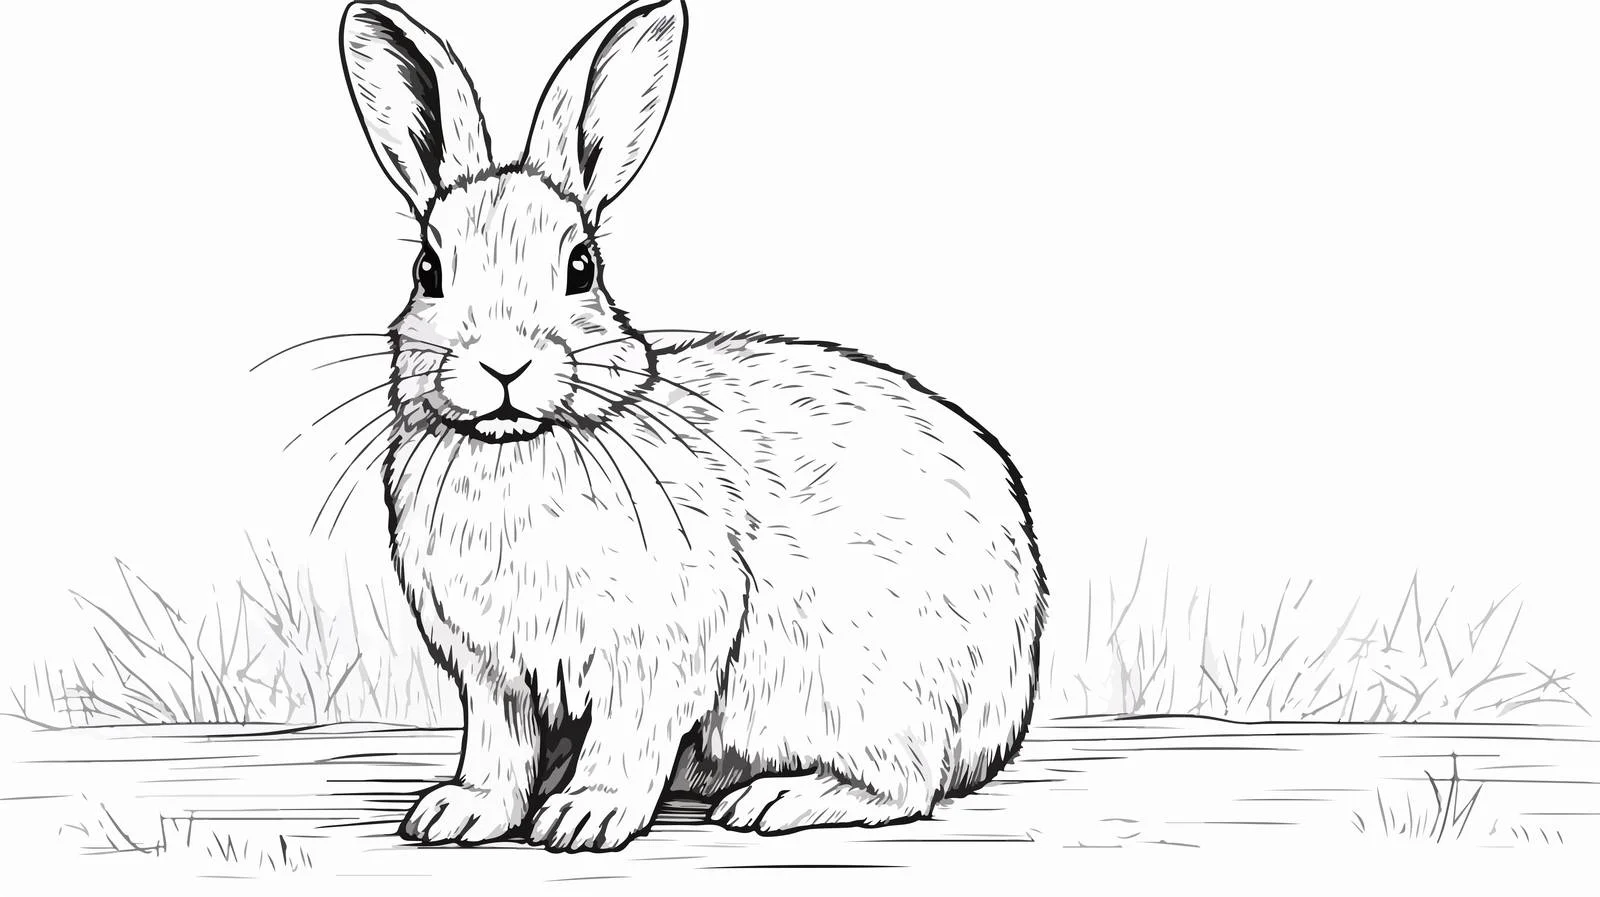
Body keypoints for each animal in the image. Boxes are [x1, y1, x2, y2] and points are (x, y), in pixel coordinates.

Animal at [340, 0, 1046, 852]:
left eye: (582, 267)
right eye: (427, 271)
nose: (503, 365)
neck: (522, 446)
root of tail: (999, 708)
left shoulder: (658, 646)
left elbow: (628, 735)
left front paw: (585, 817)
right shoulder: (491, 673)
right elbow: (498, 745)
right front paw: (460, 811)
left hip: (862, 691)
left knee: (904, 785)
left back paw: (775, 799)